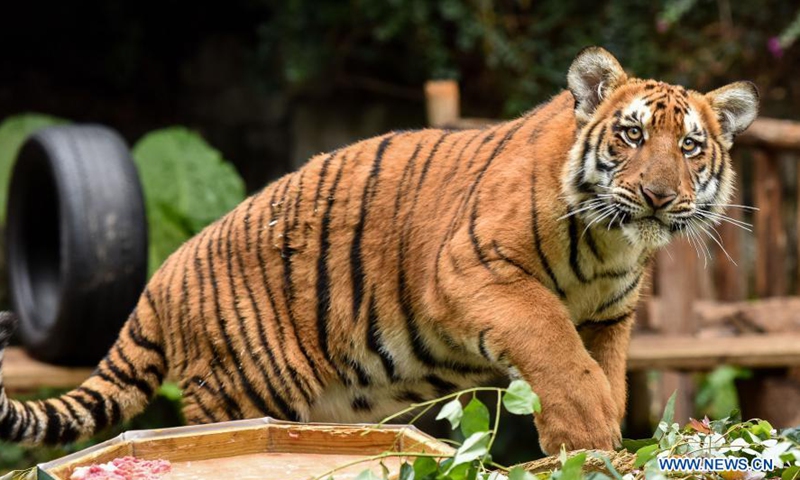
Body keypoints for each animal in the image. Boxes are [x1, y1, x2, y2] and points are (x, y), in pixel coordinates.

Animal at [0, 47, 756, 452]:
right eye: (631, 136)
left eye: (690, 147)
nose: (658, 195)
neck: (609, 245)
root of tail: (163, 275)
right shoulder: (475, 270)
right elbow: (554, 347)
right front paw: (590, 434)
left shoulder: (608, 317)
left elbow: (602, 368)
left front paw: (596, 439)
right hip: (245, 394)